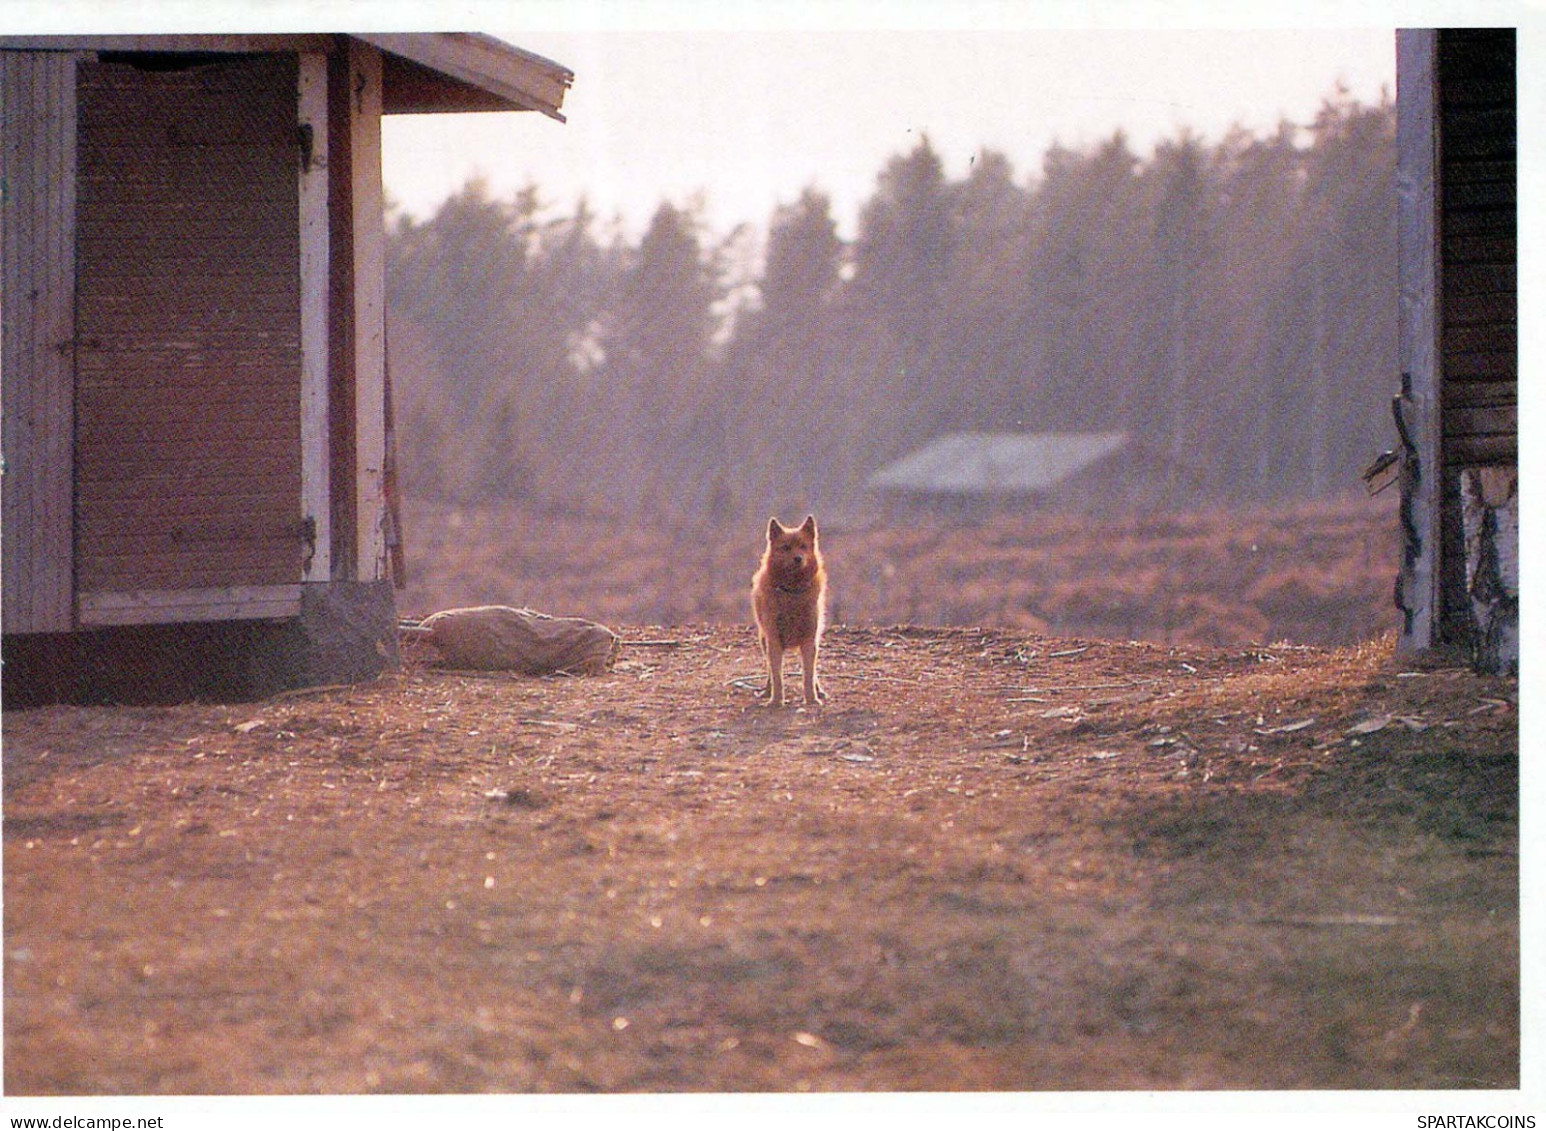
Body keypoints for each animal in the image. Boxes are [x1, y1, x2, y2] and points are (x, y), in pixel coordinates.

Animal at [745, 519, 822, 707]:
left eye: (803, 546)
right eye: (786, 547)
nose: (798, 558)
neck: (792, 594)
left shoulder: (809, 639)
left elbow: (808, 675)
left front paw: (811, 699)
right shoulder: (774, 640)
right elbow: (777, 676)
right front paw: (776, 701)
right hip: (764, 640)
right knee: (769, 671)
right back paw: (767, 691)